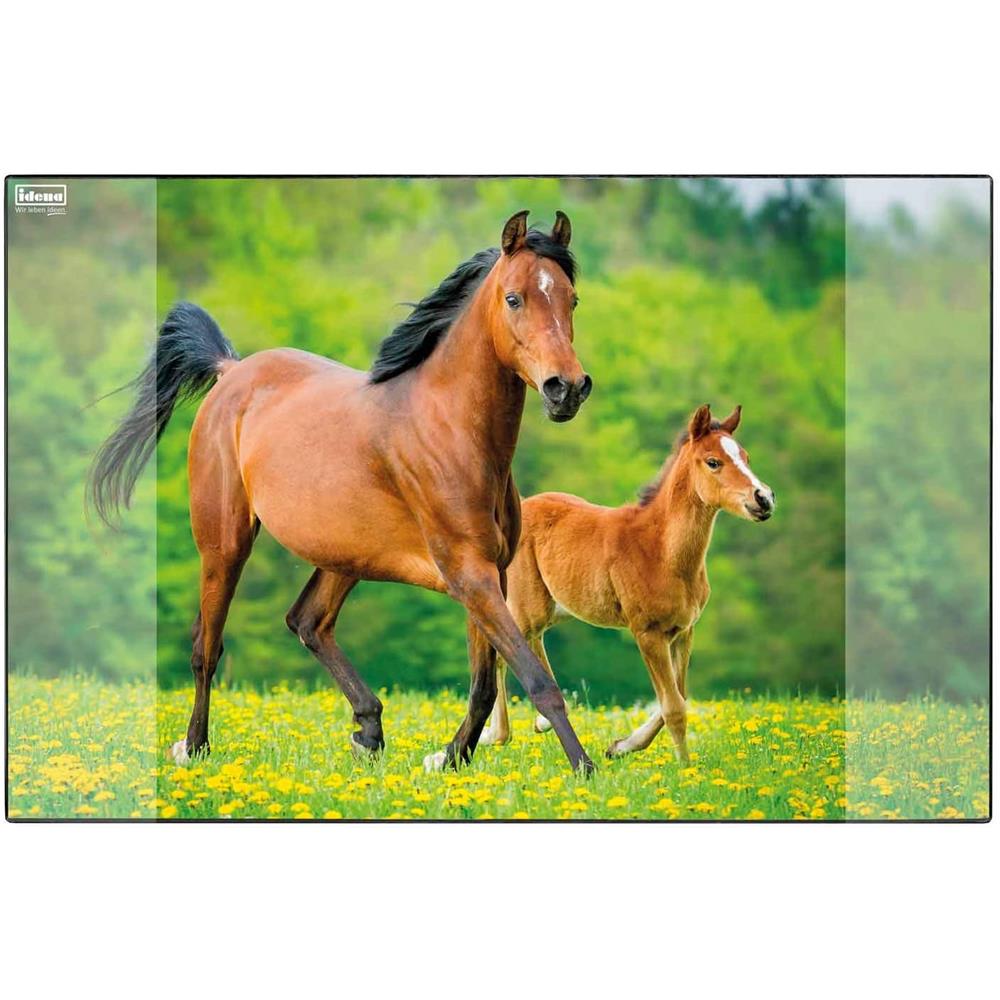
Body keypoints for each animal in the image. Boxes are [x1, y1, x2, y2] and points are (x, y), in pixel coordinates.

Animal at [89, 210, 597, 775]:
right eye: (514, 298)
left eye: (572, 299)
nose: (566, 389)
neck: (453, 432)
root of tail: (231, 371)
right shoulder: (470, 574)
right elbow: (537, 681)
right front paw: (586, 769)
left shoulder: (488, 574)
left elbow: (484, 685)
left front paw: (449, 758)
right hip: (225, 544)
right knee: (208, 645)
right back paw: (194, 746)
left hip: (344, 554)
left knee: (307, 621)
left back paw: (368, 729)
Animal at [480, 403, 775, 761]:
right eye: (713, 461)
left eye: (745, 456)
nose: (763, 499)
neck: (661, 551)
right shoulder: (647, 632)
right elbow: (674, 707)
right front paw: (685, 767)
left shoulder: (684, 631)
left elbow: (678, 697)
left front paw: (621, 746)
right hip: (529, 606)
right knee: (507, 645)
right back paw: (496, 734)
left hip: (553, 608)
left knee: (526, 643)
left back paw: (536, 723)